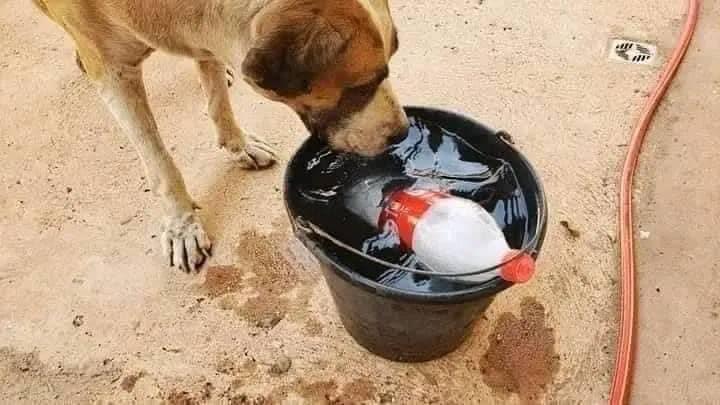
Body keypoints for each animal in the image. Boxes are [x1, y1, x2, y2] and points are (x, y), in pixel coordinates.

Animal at [31, 0, 408, 272]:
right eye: (362, 87)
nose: (401, 133)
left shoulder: (203, 35)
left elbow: (216, 95)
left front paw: (238, 144)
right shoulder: (113, 72)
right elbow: (159, 161)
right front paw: (182, 225)